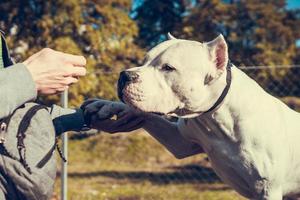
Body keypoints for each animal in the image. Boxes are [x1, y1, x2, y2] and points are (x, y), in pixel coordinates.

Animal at [116, 33, 300, 199]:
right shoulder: (181, 142)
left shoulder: (268, 189)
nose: (124, 75)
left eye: (168, 67)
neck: (217, 118)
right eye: (144, 61)